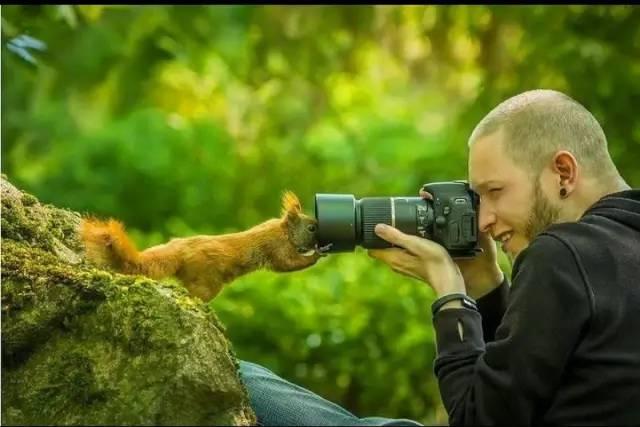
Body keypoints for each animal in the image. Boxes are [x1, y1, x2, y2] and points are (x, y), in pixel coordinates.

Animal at [78, 192, 322, 302]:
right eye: (311, 228)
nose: (319, 237)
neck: (284, 229)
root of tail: (179, 248)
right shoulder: (276, 246)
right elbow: (286, 264)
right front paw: (318, 254)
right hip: (207, 282)